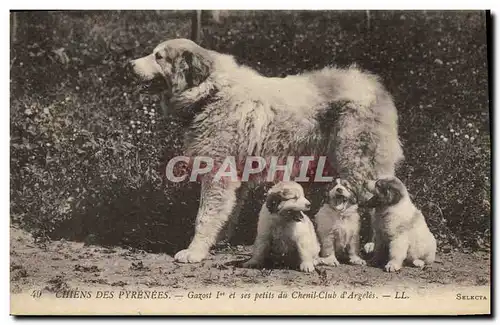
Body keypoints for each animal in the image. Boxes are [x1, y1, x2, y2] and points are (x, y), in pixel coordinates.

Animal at [131, 38, 404, 262]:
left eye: (159, 56)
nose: (129, 64)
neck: (211, 93)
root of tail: (374, 86)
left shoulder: (217, 173)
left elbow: (205, 216)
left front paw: (195, 251)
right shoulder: (235, 176)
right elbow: (226, 212)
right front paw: (218, 241)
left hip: (359, 164)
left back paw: (372, 245)